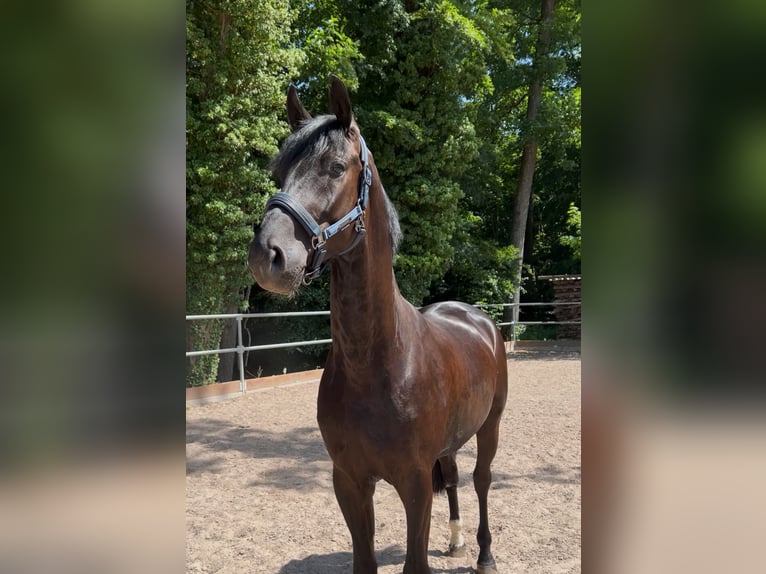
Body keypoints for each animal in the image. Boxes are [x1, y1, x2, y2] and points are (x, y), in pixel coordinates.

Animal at [248, 76, 508, 574]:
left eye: (335, 166)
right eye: (279, 172)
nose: (267, 255)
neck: (379, 363)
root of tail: (476, 318)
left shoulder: (414, 483)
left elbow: (414, 562)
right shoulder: (349, 481)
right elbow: (364, 559)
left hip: (491, 426)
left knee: (482, 479)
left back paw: (485, 553)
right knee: (455, 477)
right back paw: (456, 540)